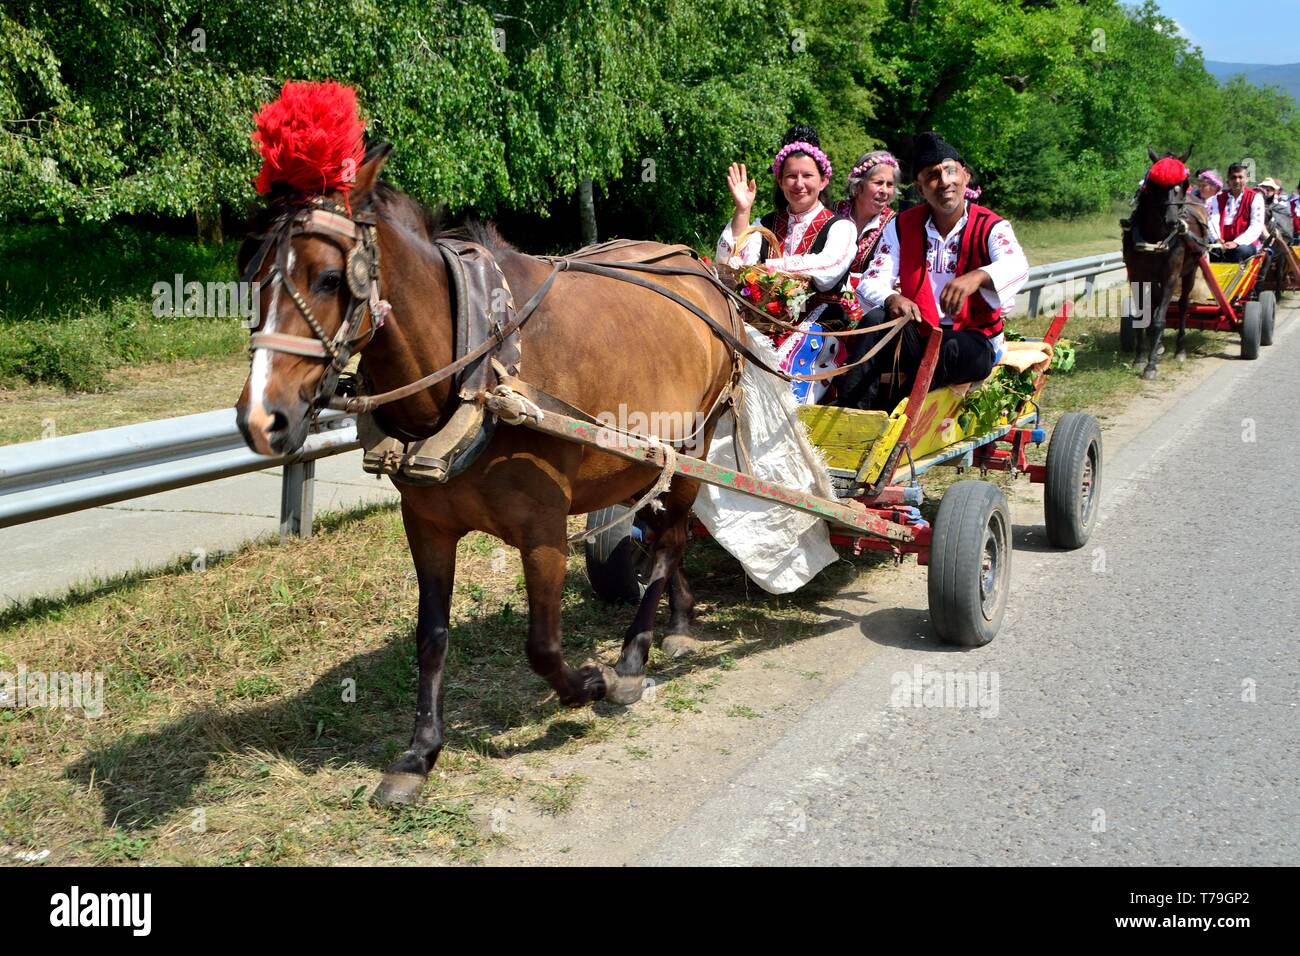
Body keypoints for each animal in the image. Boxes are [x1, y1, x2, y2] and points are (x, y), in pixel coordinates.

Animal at [236, 147, 743, 806]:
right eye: (254, 276)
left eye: (327, 278)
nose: (260, 420)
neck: (476, 368)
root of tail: (700, 268)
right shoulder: (426, 524)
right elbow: (431, 635)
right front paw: (419, 753)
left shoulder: (544, 532)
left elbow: (543, 646)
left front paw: (592, 683)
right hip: (644, 458)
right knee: (663, 536)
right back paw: (677, 620)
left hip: (691, 448)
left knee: (669, 541)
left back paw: (634, 657)